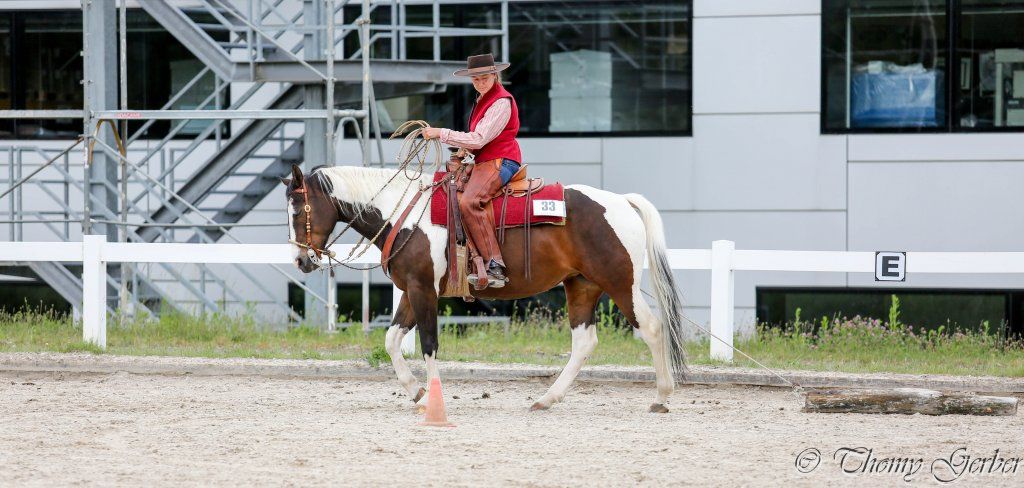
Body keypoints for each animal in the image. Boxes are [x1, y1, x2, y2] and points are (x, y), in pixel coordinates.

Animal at [283, 163, 688, 412]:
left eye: (297, 209)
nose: (302, 261)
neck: (405, 215)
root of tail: (621, 201)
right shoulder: (412, 292)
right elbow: (392, 340)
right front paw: (416, 392)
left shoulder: (423, 291)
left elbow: (429, 345)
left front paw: (432, 400)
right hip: (582, 286)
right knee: (584, 342)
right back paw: (546, 399)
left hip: (620, 283)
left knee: (653, 329)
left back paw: (662, 396)